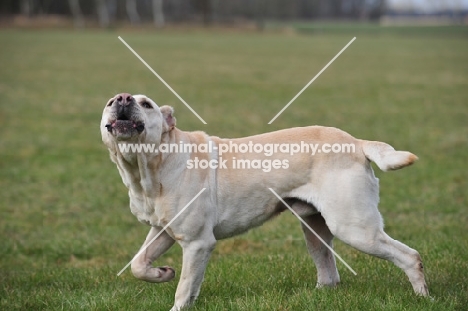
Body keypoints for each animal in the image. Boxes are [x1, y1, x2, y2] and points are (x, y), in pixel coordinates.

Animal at [100, 93, 430, 311]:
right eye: (110, 102)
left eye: (146, 104)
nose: (122, 99)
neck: (150, 165)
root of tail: (357, 143)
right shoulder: (163, 231)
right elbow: (138, 264)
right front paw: (162, 273)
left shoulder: (197, 243)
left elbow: (184, 289)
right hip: (315, 229)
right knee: (329, 274)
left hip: (355, 228)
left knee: (410, 256)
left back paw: (423, 297)